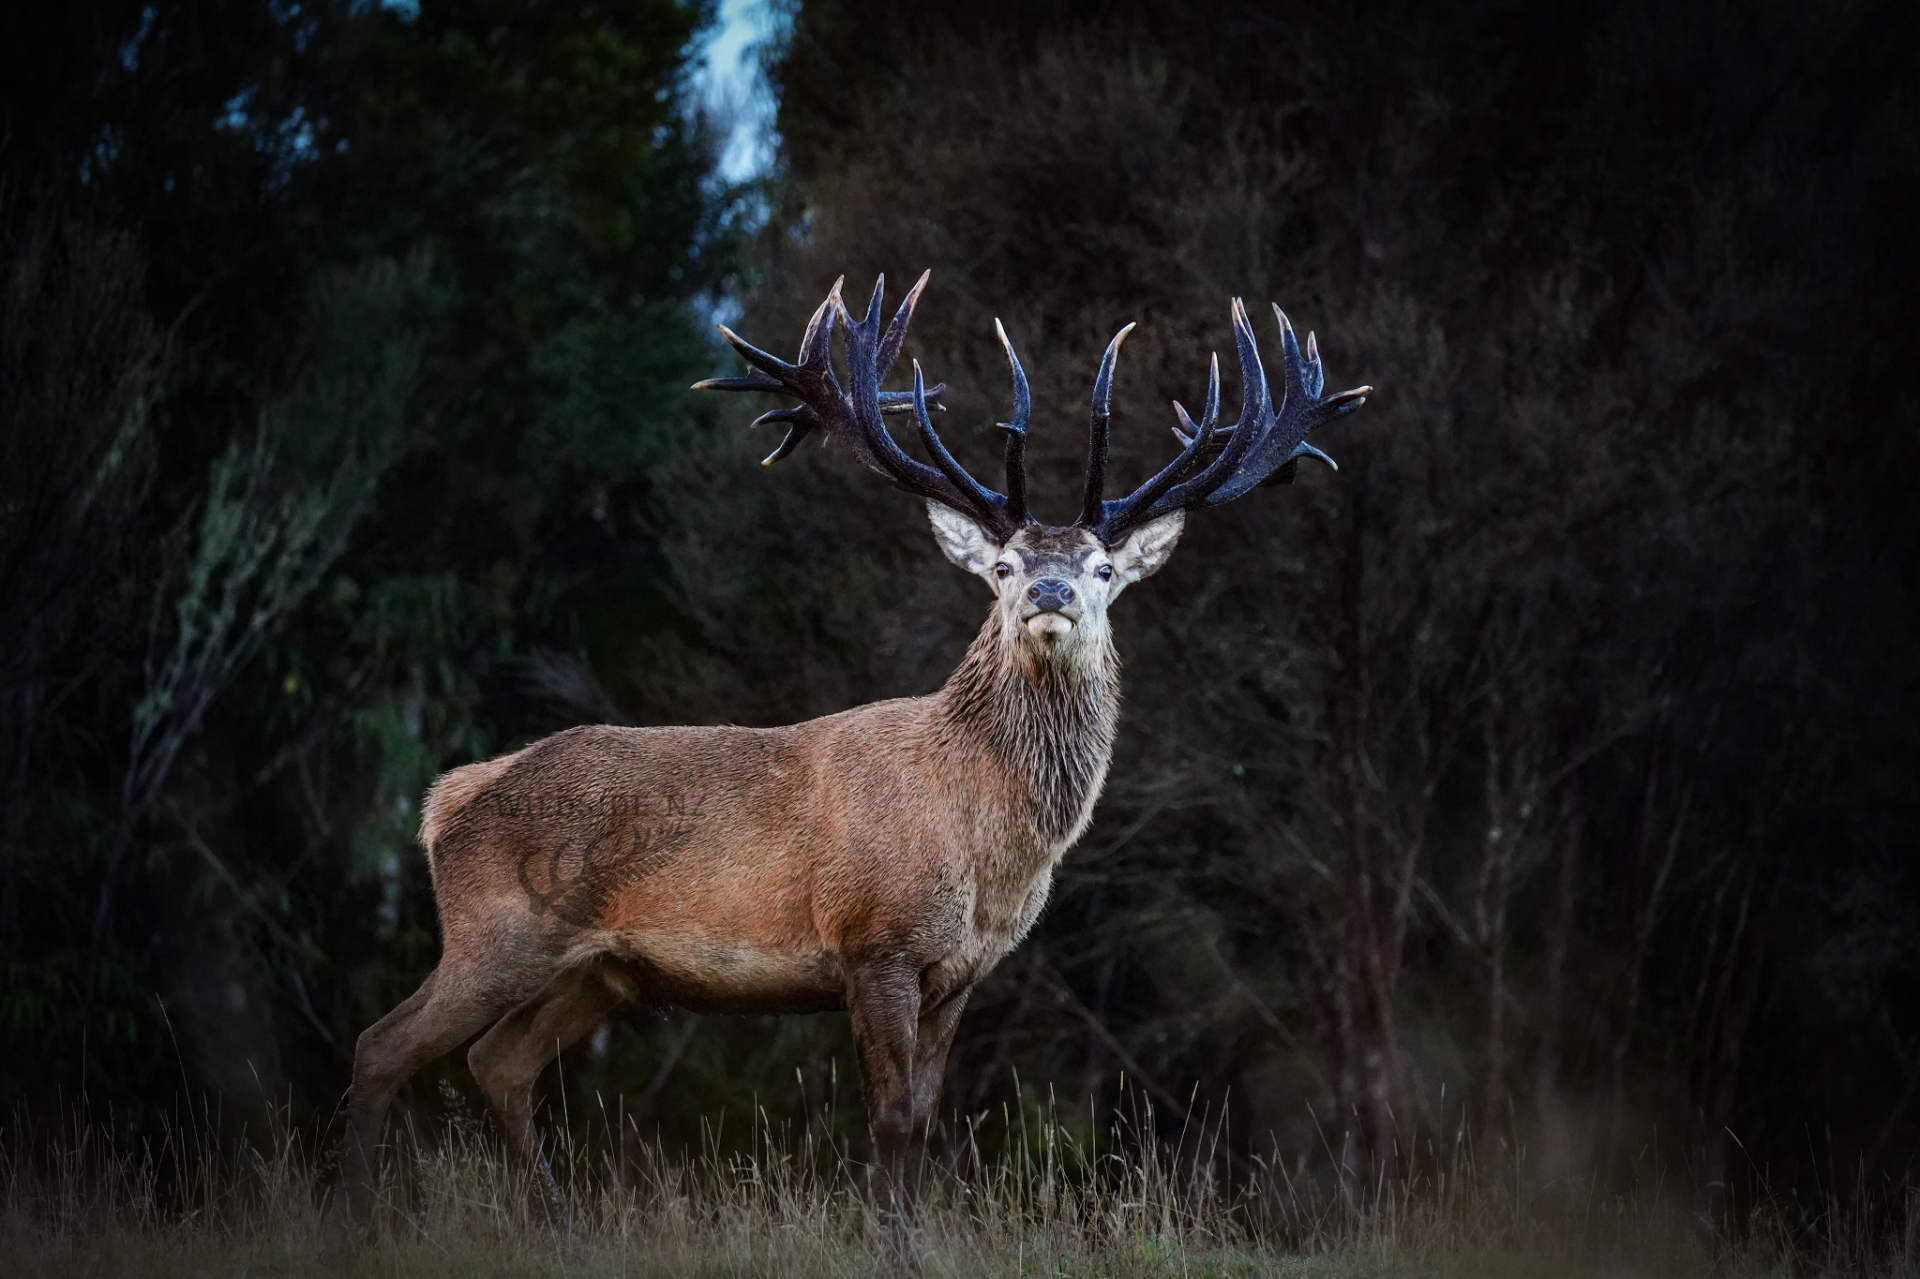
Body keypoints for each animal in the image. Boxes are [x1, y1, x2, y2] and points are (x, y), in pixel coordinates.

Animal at [341, 271, 1370, 1231]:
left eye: (1104, 567)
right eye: (1004, 564)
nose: (1048, 593)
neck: (984, 844)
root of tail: (446, 800)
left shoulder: (962, 971)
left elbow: (923, 1114)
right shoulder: (874, 941)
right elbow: (888, 1118)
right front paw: (893, 1242)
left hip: (596, 972)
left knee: (497, 1062)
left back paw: (553, 1217)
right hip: (494, 931)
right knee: (381, 1045)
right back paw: (360, 1212)